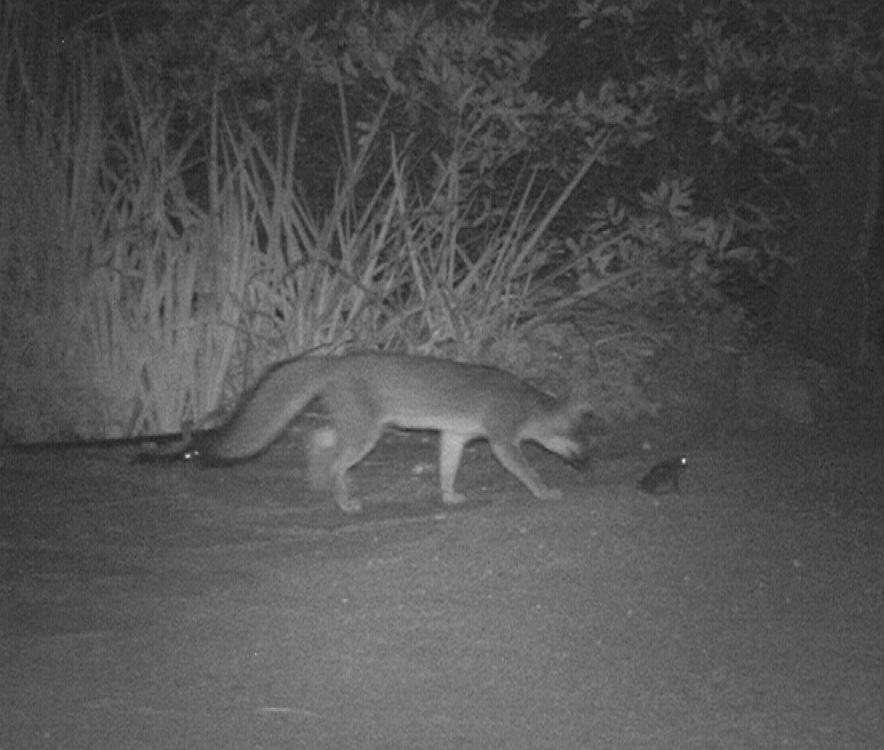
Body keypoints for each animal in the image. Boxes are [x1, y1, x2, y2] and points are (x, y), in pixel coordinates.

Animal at [194, 356, 592, 516]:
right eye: (582, 442)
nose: (589, 465)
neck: (527, 403)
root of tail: (335, 359)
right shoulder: (503, 441)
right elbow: (528, 471)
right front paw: (545, 491)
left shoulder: (455, 436)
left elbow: (447, 469)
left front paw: (448, 495)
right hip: (366, 436)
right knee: (335, 461)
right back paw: (344, 501)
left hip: (355, 429)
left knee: (321, 443)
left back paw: (325, 485)